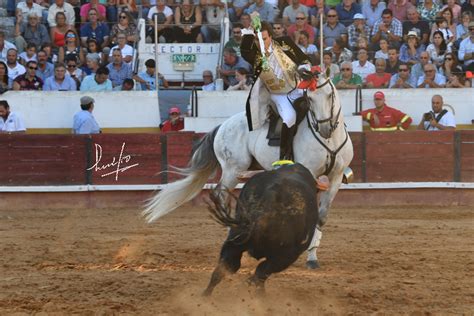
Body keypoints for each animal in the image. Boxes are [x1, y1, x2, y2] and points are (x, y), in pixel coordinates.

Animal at [146, 76, 354, 270]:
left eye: (330, 95)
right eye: (309, 98)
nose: (324, 128)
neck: (329, 140)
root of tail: (223, 125)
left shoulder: (335, 178)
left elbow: (321, 216)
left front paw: (312, 257)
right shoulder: (309, 174)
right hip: (232, 170)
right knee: (221, 195)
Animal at [204, 163, 318, 296]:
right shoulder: (286, 255)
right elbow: (261, 273)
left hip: (234, 241)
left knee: (225, 269)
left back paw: (205, 296)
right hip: (285, 255)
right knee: (259, 272)